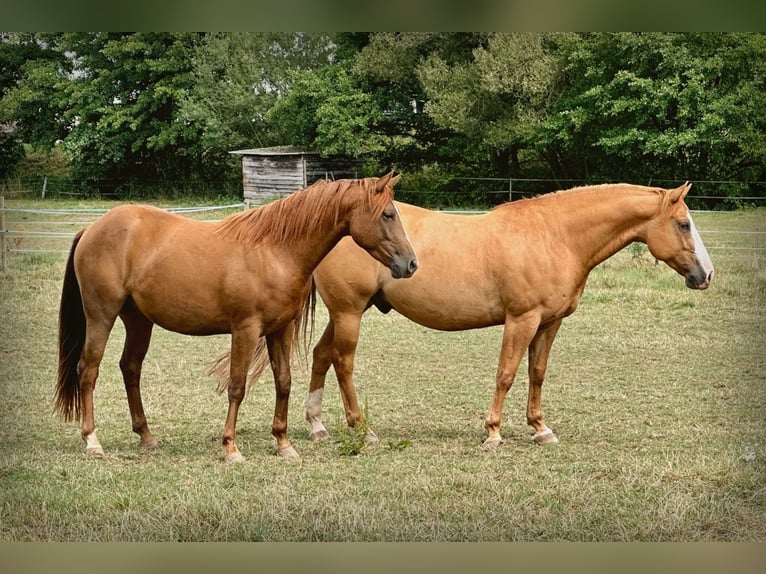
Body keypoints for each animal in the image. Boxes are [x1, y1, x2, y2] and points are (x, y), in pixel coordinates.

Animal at [55, 173, 418, 461]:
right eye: (388, 214)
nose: (411, 263)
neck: (276, 250)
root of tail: (92, 228)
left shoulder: (280, 330)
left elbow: (283, 381)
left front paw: (283, 443)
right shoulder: (246, 328)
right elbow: (237, 386)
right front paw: (231, 447)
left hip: (138, 320)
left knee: (130, 369)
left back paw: (146, 436)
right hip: (101, 315)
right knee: (88, 371)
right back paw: (92, 441)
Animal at [305, 182, 714, 449]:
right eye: (683, 224)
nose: (706, 275)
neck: (555, 235)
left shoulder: (549, 322)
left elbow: (537, 373)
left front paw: (540, 428)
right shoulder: (522, 319)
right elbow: (506, 374)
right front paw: (493, 433)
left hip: (344, 313)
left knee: (321, 356)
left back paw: (316, 426)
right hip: (349, 312)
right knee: (343, 362)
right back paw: (362, 429)